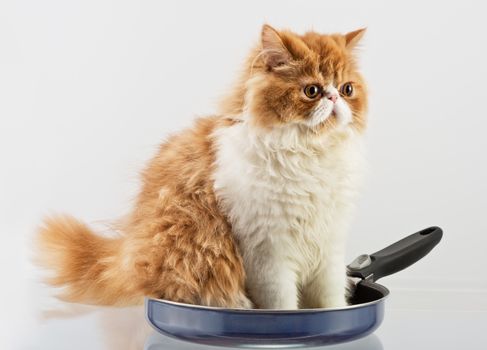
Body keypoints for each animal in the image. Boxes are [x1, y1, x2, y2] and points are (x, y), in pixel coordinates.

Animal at [37, 23, 366, 308]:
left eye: (347, 89)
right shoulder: (268, 252)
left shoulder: (329, 247)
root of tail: (126, 254)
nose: (334, 98)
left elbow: (331, 300)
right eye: (312, 91)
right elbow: (282, 306)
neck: (311, 153)